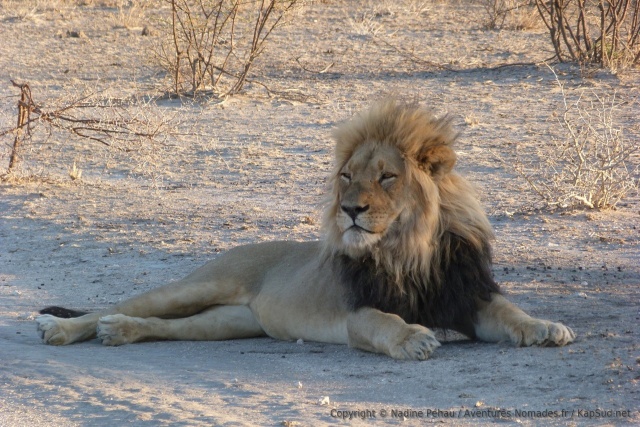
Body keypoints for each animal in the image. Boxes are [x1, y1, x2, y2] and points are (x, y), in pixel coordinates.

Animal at [36, 99, 575, 360]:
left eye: (387, 177)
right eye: (346, 176)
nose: (350, 210)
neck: (407, 249)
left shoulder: (468, 297)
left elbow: (509, 311)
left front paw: (545, 327)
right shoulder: (357, 312)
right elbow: (386, 322)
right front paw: (414, 339)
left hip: (231, 323)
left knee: (163, 327)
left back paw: (119, 332)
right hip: (200, 285)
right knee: (119, 305)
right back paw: (60, 328)